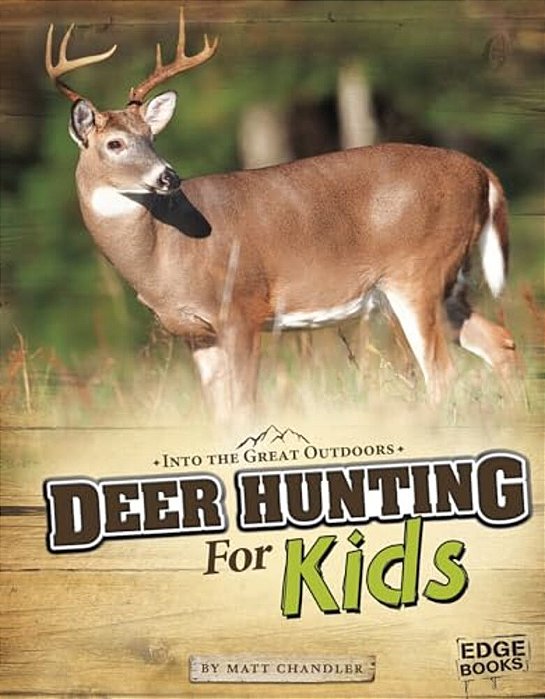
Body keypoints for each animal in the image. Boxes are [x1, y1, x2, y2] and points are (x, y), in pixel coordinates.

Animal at [45, 8, 519, 422]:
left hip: (418, 272)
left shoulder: (241, 307)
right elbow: (220, 415)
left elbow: (245, 406)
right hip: (450, 279)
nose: (168, 176)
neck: (164, 253)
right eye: (115, 144)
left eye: (151, 136)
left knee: (442, 372)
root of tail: (481, 172)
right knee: (500, 342)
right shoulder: (196, 333)